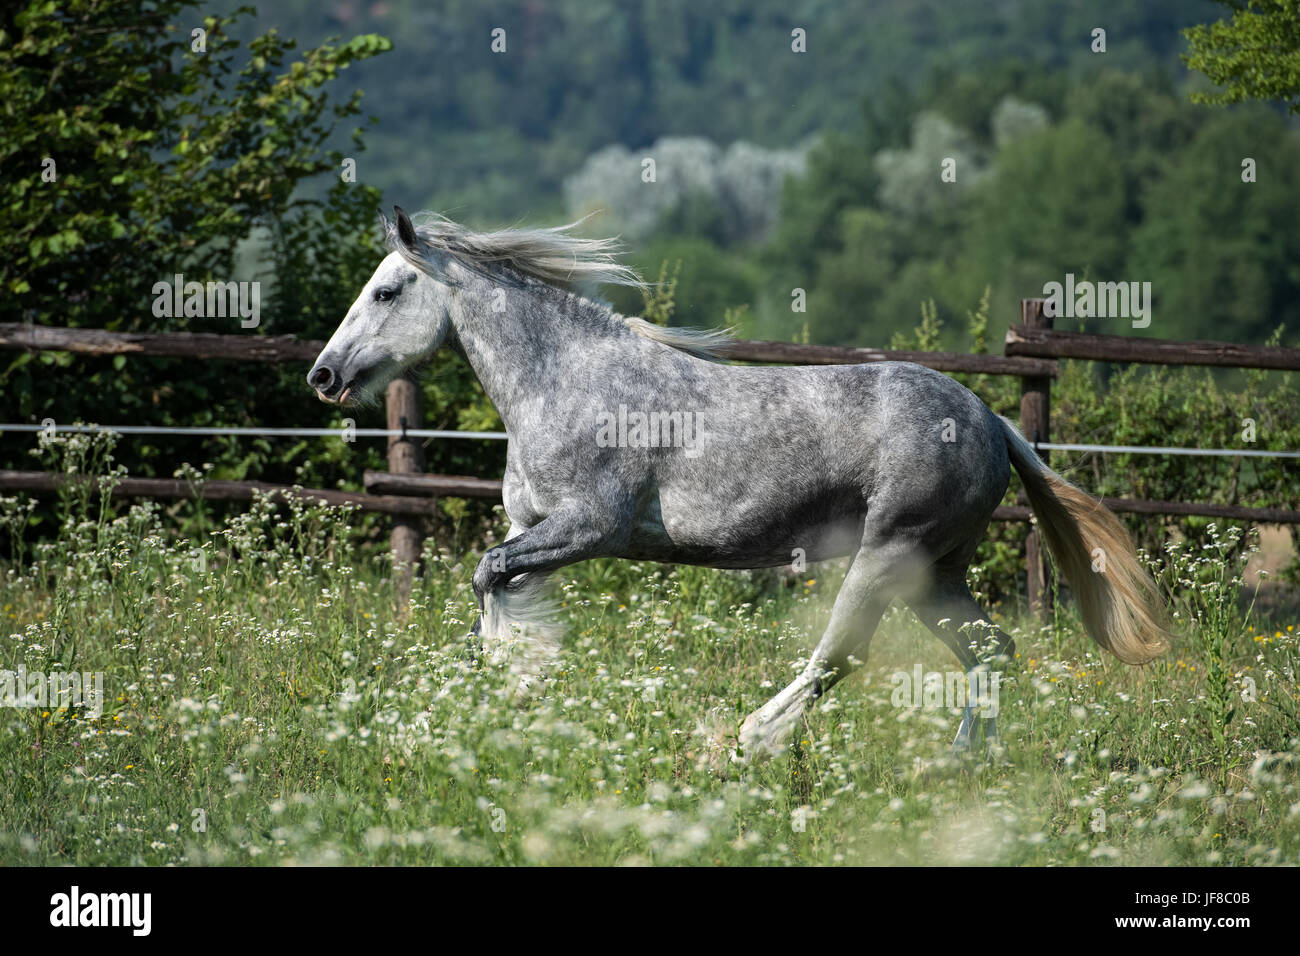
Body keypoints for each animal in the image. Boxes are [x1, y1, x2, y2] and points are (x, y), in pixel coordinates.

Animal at [309, 208, 1175, 754]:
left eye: (387, 290)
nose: (324, 375)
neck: (565, 381)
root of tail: (993, 422)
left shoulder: (590, 528)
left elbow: (490, 577)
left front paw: (513, 682)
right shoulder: (534, 530)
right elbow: (493, 588)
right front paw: (500, 692)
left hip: (889, 552)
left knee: (842, 653)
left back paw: (754, 739)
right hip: (937, 570)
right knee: (990, 650)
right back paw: (968, 764)